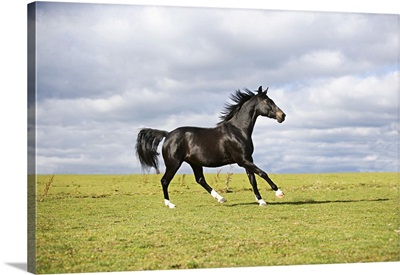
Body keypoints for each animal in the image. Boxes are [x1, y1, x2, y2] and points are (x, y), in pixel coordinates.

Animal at [136, 85, 286, 207]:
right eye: (267, 101)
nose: (282, 115)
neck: (238, 130)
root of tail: (167, 134)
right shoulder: (243, 160)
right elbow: (262, 173)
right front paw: (279, 193)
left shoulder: (247, 160)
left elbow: (253, 180)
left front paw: (261, 201)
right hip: (173, 163)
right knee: (164, 181)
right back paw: (170, 204)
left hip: (194, 163)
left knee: (200, 180)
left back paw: (221, 199)